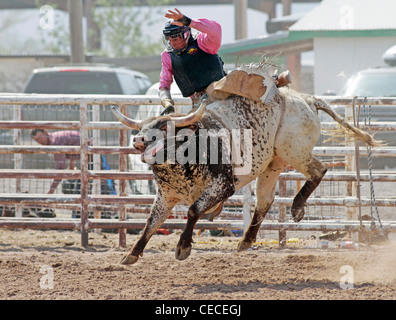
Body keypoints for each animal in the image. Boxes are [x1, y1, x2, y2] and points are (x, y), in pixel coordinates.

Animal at [110, 62, 378, 264]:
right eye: (142, 128)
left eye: (165, 127)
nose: (138, 139)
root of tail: (308, 99)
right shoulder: (166, 196)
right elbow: (150, 223)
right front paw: (132, 254)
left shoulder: (222, 186)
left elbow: (193, 210)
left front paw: (183, 247)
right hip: (273, 164)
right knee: (264, 201)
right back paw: (247, 240)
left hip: (294, 150)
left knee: (318, 170)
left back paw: (296, 207)